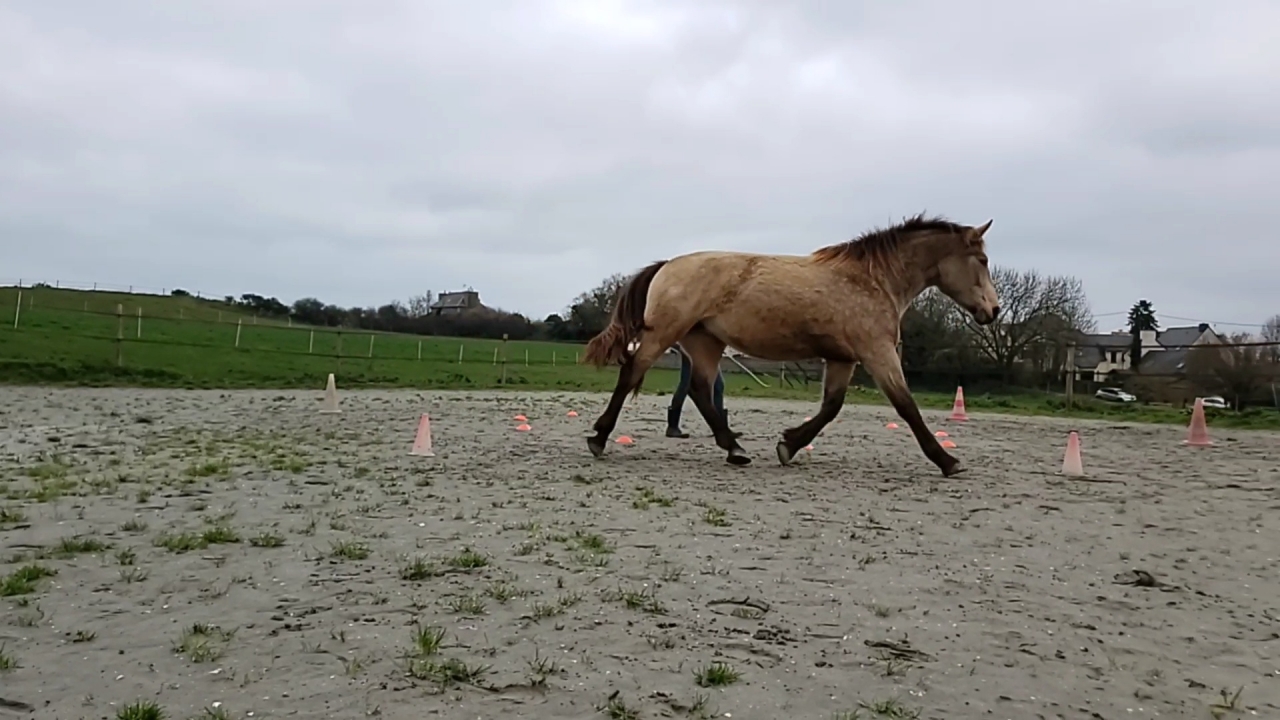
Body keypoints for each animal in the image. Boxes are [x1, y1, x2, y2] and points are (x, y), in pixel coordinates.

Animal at [579, 213, 1001, 477]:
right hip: (664, 334)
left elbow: (830, 408)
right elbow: (907, 407)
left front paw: (790, 445)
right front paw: (946, 460)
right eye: (981, 259)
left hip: (705, 343)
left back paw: (735, 449)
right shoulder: (877, 354)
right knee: (632, 372)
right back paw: (599, 438)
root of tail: (667, 264)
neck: (875, 280)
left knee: (699, 390)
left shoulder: (843, 359)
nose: (993, 310)